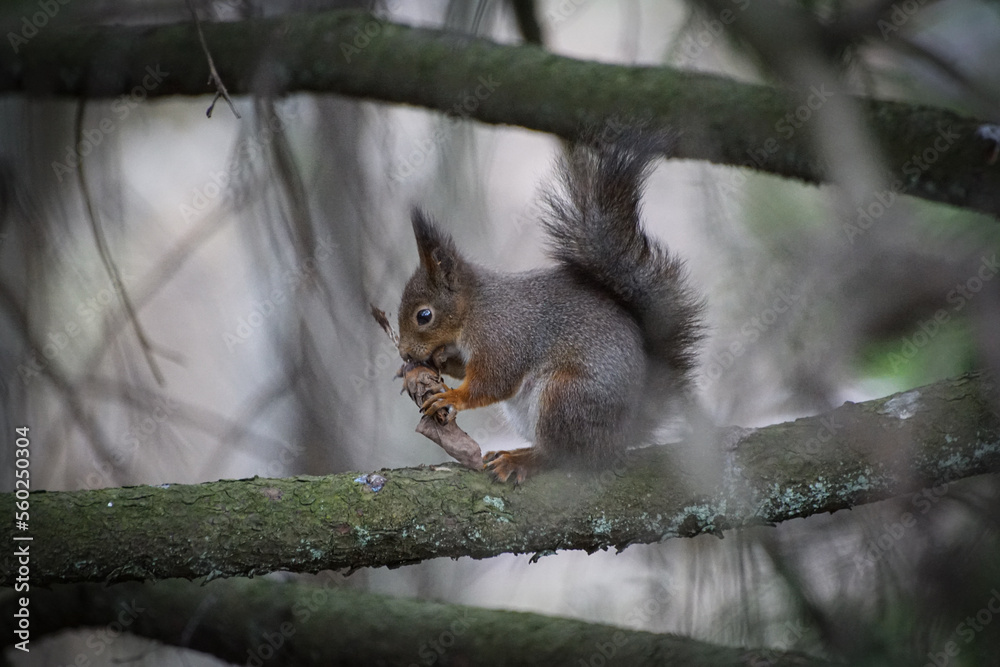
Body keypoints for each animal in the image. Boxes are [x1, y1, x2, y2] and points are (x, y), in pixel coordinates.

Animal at [396, 134, 705, 483]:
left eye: (424, 316)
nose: (405, 353)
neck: (474, 308)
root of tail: (625, 432)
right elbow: (466, 369)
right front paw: (440, 360)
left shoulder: (503, 335)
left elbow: (495, 381)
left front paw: (452, 396)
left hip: (565, 398)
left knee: (564, 455)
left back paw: (522, 460)